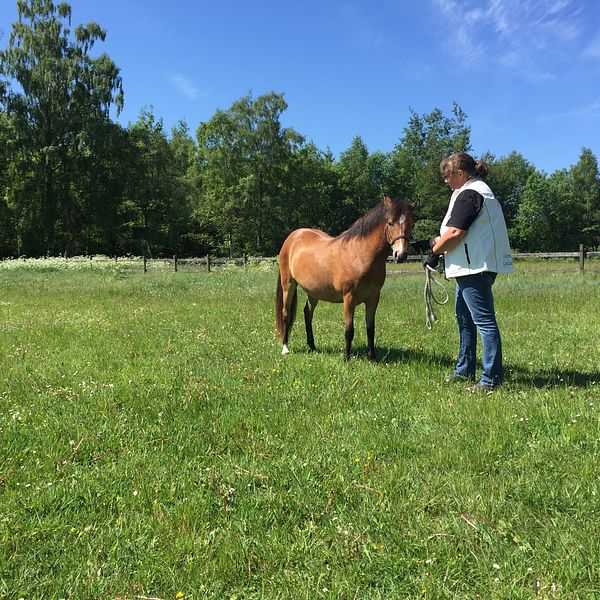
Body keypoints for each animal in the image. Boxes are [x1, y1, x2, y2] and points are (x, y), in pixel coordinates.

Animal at [276, 196, 418, 360]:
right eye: (389, 222)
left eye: (412, 224)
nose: (400, 255)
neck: (360, 254)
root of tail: (293, 236)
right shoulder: (349, 297)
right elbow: (349, 330)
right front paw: (346, 358)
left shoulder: (373, 298)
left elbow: (371, 328)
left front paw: (372, 358)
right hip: (288, 285)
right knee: (286, 313)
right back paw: (285, 348)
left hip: (314, 291)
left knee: (308, 313)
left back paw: (312, 347)